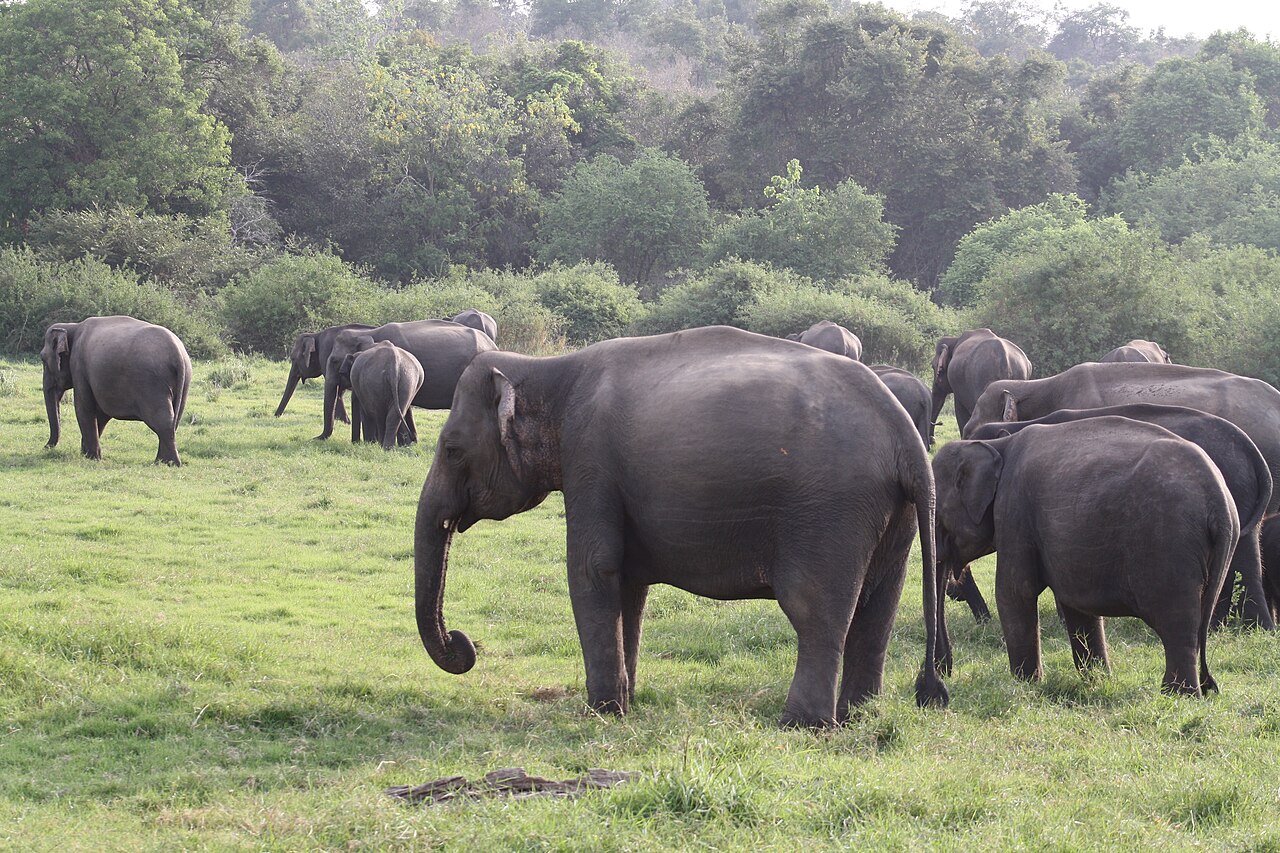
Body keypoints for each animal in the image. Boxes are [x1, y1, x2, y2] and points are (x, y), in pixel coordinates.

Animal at [41, 316, 192, 466]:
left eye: (43, 359)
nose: (46, 447)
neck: (73, 326)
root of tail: (178, 354)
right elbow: (100, 413)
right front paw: (87, 455)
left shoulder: (79, 367)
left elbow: (83, 408)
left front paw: (92, 458)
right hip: (184, 383)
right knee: (174, 419)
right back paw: (161, 462)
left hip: (152, 384)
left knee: (163, 421)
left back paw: (169, 463)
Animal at [317, 320, 497, 441]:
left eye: (334, 360)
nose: (316, 438)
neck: (368, 332)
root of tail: (494, 345)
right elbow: (405, 407)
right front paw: (410, 442)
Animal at [413, 325, 947, 727]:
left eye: (452, 449)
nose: (463, 644)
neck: (546, 368)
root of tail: (906, 436)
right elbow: (627, 583)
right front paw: (625, 704)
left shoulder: (590, 458)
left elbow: (592, 568)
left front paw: (602, 712)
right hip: (893, 515)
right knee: (878, 610)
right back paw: (859, 716)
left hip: (830, 511)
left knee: (816, 611)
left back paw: (801, 724)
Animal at [933, 418, 1237, 696]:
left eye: (937, 517)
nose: (945, 672)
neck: (998, 446)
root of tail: (1218, 500)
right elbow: (1076, 604)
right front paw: (1098, 679)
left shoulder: (1014, 512)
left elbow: (1015, 592)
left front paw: (1025, 685)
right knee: (1198, 621)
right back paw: (1200, 689)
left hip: (1169, 544)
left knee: (1177, 624)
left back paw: (1177, 694)